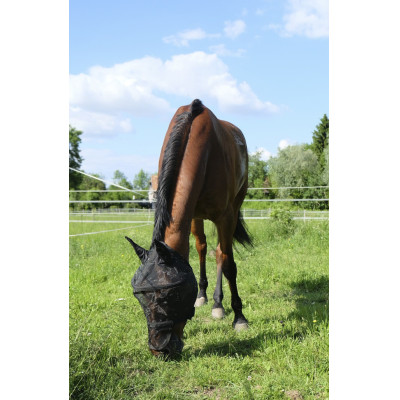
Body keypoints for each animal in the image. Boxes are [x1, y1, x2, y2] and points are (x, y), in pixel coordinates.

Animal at [126, 98, 250, 358]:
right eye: (140, 298)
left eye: (172, 294)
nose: (159, 350)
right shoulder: (190, 214)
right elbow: (197, 250)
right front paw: (202, 298)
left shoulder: (225, 216)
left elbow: (229, 265)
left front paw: (240, 318)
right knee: (203, 248)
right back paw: (206, 298)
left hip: (233, 208)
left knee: (220, 254)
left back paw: (219, 304)